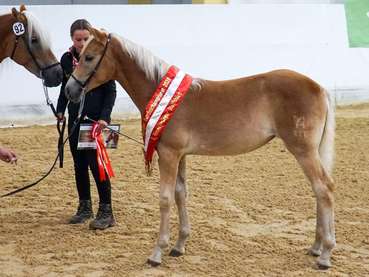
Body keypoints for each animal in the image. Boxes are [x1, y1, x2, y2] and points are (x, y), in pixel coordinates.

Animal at [64, 27, 334, 268]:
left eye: (89, 57)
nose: (69, 90)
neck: (162, 94)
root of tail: (319, 88)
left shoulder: (169, 155)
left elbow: (165, 199)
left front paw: (157, 253)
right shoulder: (180, 156)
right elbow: (180, 194)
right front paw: (179, 246)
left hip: (303, 150)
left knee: (324, 189)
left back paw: (325, 255)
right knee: (319, 191)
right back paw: (316, 247)